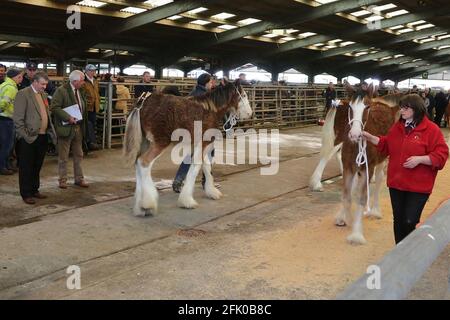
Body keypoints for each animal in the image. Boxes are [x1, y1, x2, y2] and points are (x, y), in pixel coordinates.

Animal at [122, 80, 253, 216]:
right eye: (244, 95)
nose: (249, 113)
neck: (211, 111)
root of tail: (142, 103)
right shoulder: (204, 142)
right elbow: (196, 167)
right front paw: (187, 201)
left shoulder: (197, 144)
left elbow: (206, 166)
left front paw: (212, 192)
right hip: (160, 142)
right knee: (144, 162)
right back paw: (147, 204)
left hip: (145, 142)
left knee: (137, 162)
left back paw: (139, 206)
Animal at [312, 84, 400, 244]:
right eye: (351, 107)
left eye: (367, 106)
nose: (355, 134)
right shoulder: (349, 167)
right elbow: (347, 196)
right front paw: (345, 218)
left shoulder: (367, 169)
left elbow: (361, 198)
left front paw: (356, 234)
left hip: (381, 160)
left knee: (379, 180)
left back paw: (375, 211)